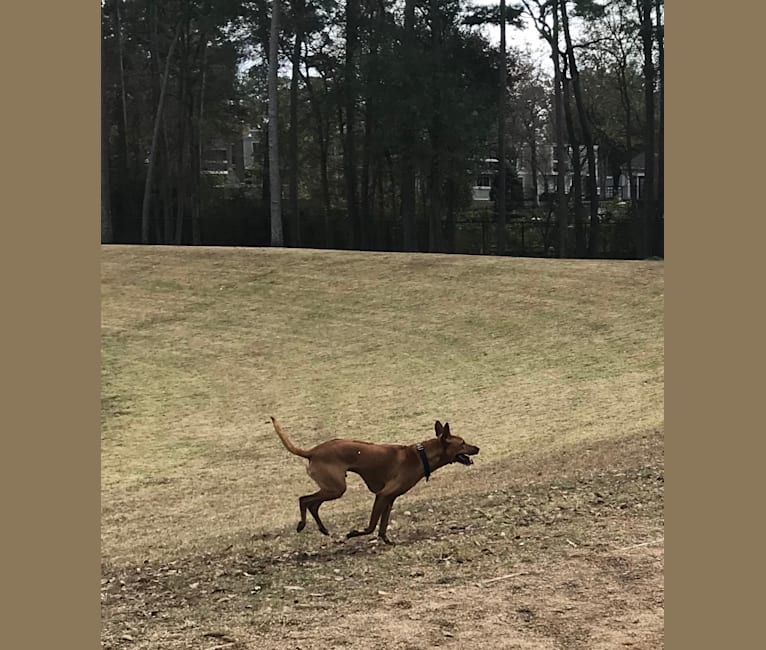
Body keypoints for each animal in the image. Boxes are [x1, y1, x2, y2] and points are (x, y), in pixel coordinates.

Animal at [270, 416, 480, 540]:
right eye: (462, 443)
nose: (477, 448)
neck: (421, 456)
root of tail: (312, 451)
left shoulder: (389, 498)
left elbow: (382, 526)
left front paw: (386, 541)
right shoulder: (383, 495)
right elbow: (372, 526)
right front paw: (355, 533)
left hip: (332, 488)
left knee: (313, 505)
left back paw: (323, 529)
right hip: (336, 488)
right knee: (304, 500)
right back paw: (302, 525)